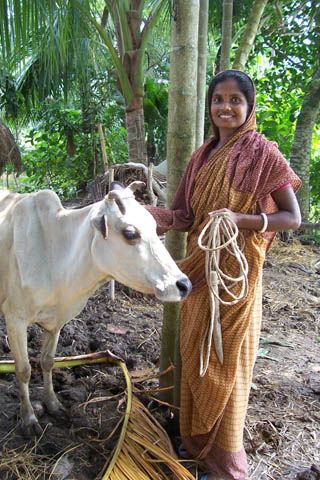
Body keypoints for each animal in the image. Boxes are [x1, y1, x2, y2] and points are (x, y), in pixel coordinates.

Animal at [0, 183, 190, 436]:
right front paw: (29, 418)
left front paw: (53, 404)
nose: (184, 285)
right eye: (130, 233)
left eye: (153, 225)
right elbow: (24, 370)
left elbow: (47, 361)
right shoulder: (15, 318)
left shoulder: (56, 322)